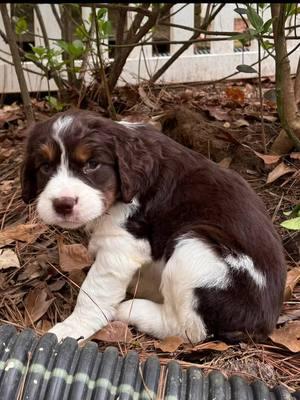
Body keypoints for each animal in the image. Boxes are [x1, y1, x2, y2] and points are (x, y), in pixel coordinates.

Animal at [20, 111, 286, 342]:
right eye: (45, 167)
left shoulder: (123, 244)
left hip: (196, 249)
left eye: (92, 165)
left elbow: (94, 290)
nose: (63, 204)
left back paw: (133, 309)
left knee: (187, 328)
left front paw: (71, 329)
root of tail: (264, 324)